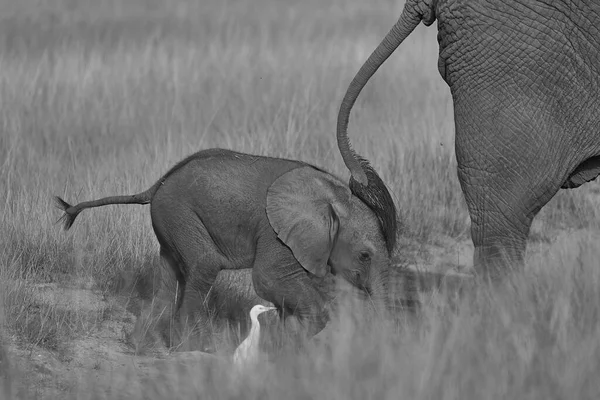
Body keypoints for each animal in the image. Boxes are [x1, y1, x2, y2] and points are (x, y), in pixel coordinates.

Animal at [55, 148, 394, 340]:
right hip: (181, 214)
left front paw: (285, 343)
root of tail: (156, 186)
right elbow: (268, 280)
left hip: (170, 221)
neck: (334, 195)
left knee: (168, 278)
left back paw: (143, 346)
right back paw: (193, 348)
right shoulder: (274, 231)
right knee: (202, 266)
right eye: (365, 256)